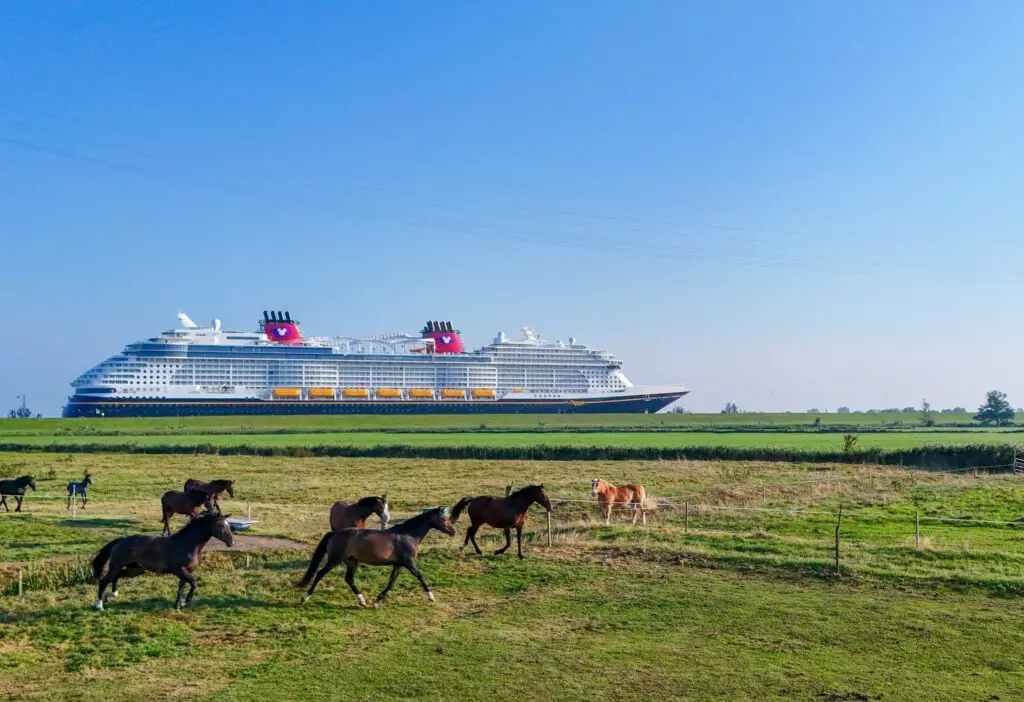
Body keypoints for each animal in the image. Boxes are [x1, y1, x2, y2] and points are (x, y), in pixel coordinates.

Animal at [92, 511, 234, 609]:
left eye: (229, 524)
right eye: (221, 525)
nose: (231, 542)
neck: (188, 544)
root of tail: (120, 540)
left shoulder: (185, 571)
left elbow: (181, 587)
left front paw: (178, 605)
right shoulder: (179, 569)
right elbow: (193, 583)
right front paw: (187, 601)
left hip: (135, 569)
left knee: (116, 577)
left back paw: (112, 596)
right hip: (117, 566)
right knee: (104, 581)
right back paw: (99, 606)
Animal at [296, 505, 456, 609]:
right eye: (444, 519)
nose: (453, 531)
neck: (408, 535)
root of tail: (334, 533)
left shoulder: (398, 565)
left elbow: (391, 583)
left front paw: (377, 601)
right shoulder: (409, 563)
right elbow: (420, 577)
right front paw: (431, 597)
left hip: (352, 562)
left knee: (349, 579)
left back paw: (362, 601)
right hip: (334, 560)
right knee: (319, 574)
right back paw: (304, 598)